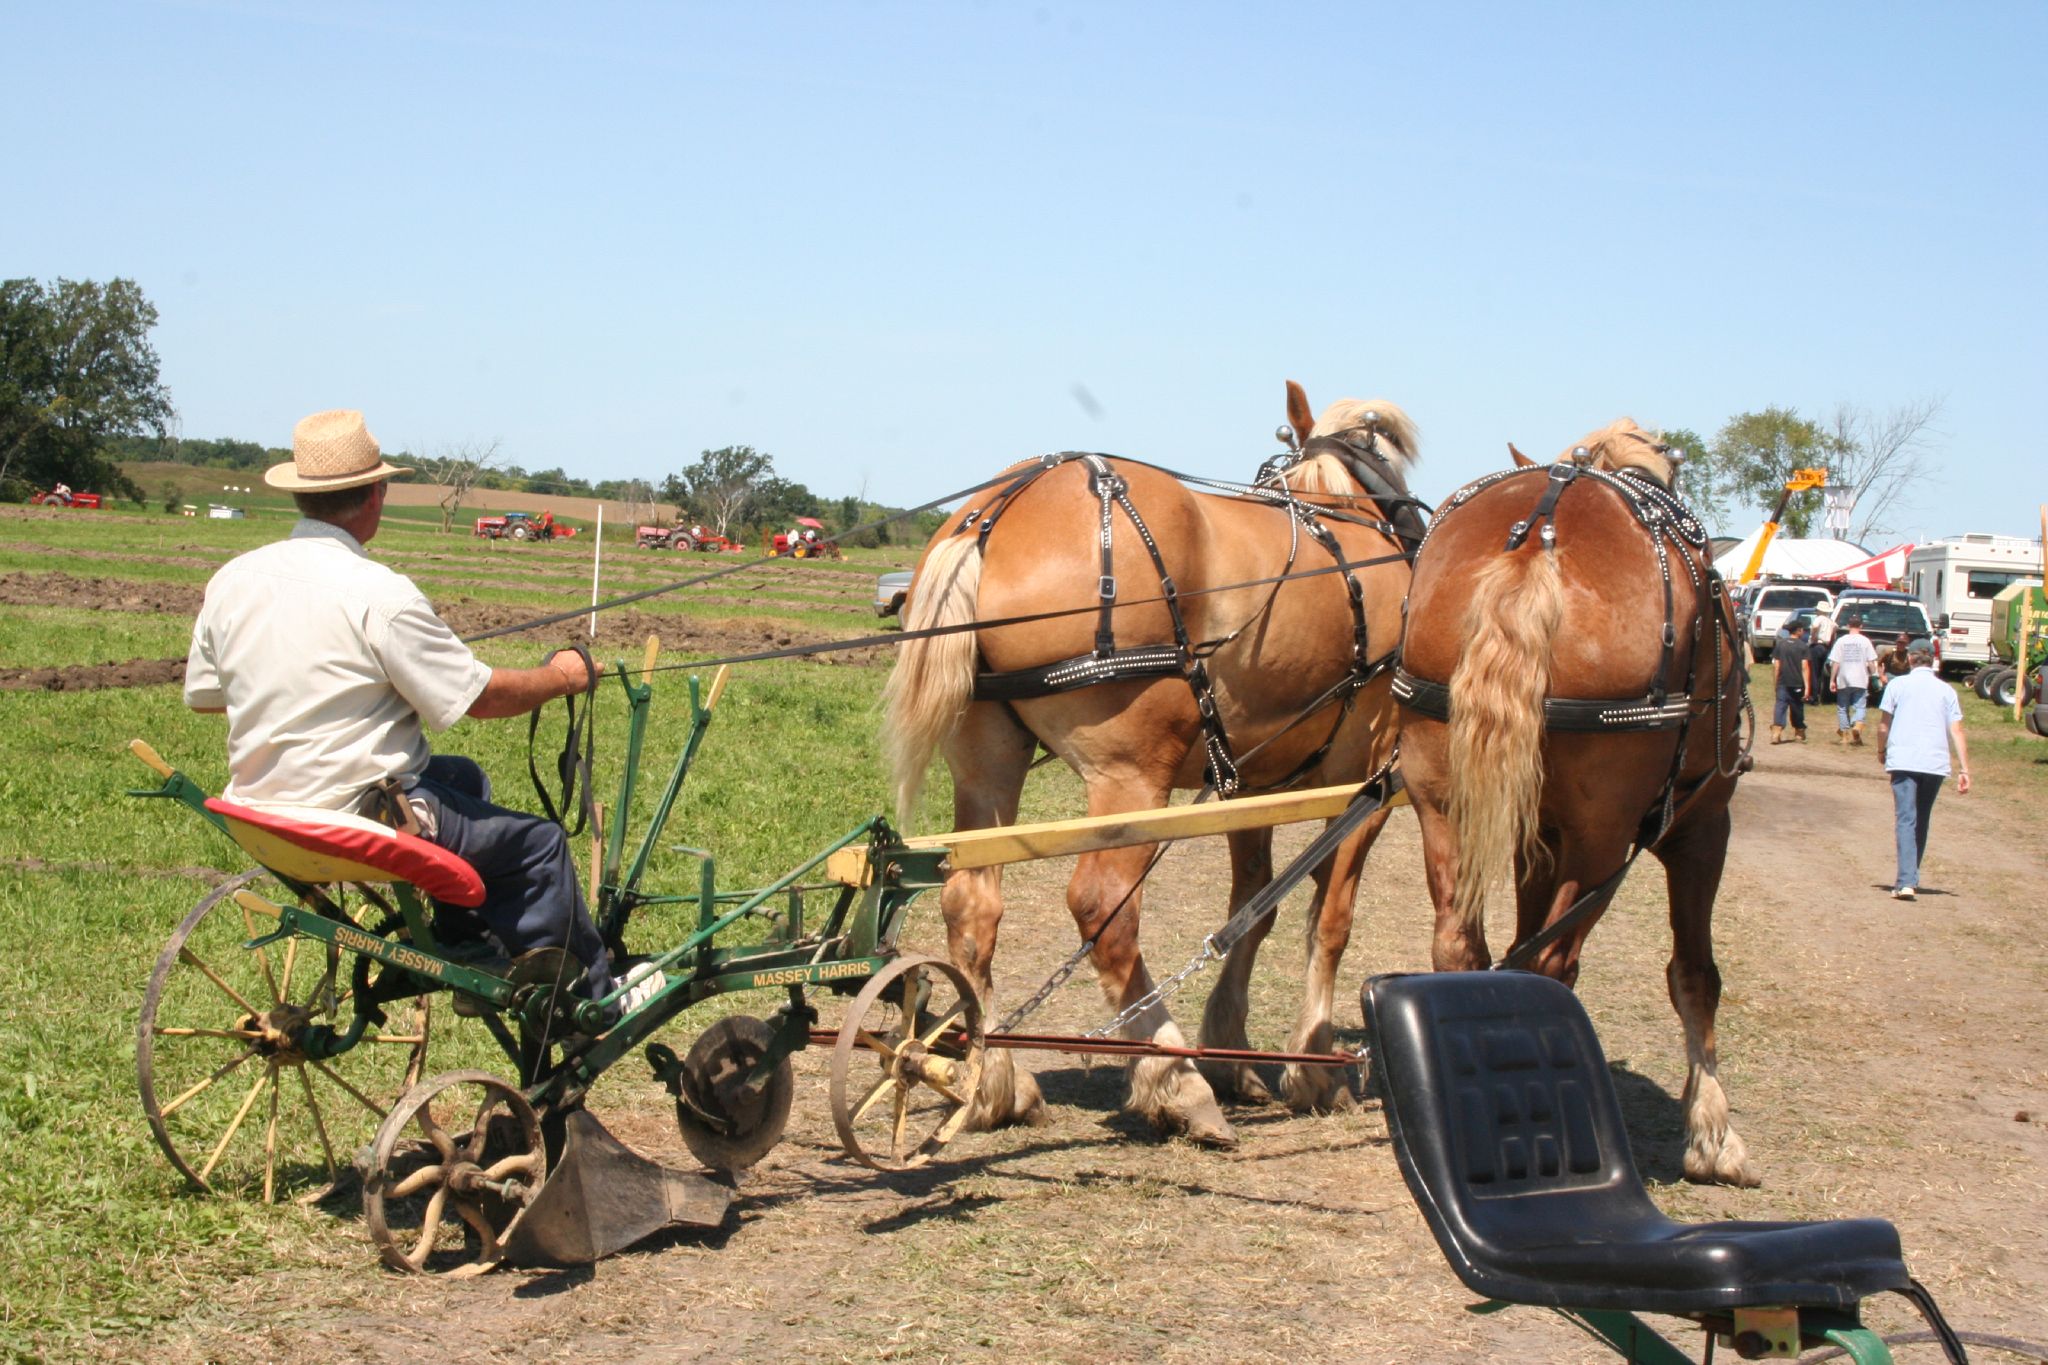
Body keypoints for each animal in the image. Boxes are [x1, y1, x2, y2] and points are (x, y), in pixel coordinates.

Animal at [880, 384, 1425, 1146]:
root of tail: (990, 516)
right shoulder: (1366, 772)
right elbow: (1331, 917)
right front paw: (1314, 1067)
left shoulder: (1249, 783)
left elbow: (1254, 907)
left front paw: (1236, 1054)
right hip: (1131, 776)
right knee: (1101, 908)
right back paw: (1175, 1078)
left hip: (987, 763)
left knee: (971, 906)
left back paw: (997, 1083)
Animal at [1409, 421, 1761, 1186]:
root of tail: (1539, 535)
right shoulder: (1703, 828)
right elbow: (1696, 974)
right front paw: (1714, 1134)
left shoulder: (1538, 833)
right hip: (1607, 837)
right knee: (1553, 963)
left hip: (1441, 803)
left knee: (1463, 944)